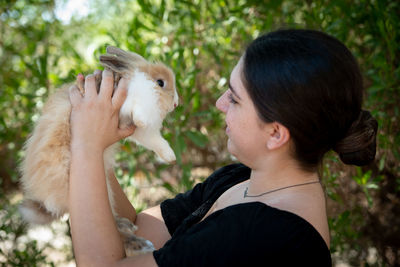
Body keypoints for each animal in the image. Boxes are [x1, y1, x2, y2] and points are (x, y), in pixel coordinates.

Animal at [18, 46, 178, 258]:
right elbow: (138, 112)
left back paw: (126, 225)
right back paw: (140, 244)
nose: (176, 104)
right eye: (160, 82)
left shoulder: (143, 134)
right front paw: (141, 118)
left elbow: (156, 141)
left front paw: (171, 157)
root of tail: (47, 201)